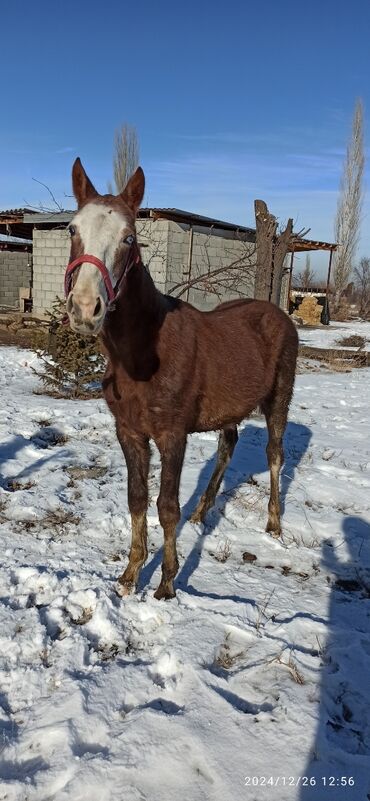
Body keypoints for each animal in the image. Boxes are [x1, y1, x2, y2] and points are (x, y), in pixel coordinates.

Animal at [66, 156, 298, 596]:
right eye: (72, 229)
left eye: (129, 238)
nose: (86, 308)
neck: (142, 356)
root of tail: (278, 312)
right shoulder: (129, 432)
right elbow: (137, 498)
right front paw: (130, 575)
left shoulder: (172, 435)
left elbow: (166, 506)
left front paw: (167, 583)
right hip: (230, 408)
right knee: (227, 447)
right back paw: (203, 512)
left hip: (279, 398)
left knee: (274, 454)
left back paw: (275, 523)